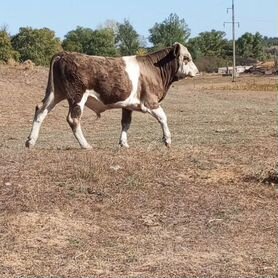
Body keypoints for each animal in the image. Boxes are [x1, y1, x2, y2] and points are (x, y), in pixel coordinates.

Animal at [25, 42, 198, 149]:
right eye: (186, 58)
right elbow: (163, 118)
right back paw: (85, 145)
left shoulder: (128, 105)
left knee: (40, 110)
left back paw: (30, 141)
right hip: (77, 96)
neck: (154, 69)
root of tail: (64, 54)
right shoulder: (150, 101)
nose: (196, 72)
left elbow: (126, 123)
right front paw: (167, 140)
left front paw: (123, 143)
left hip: (56, 93)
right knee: (73, 119)